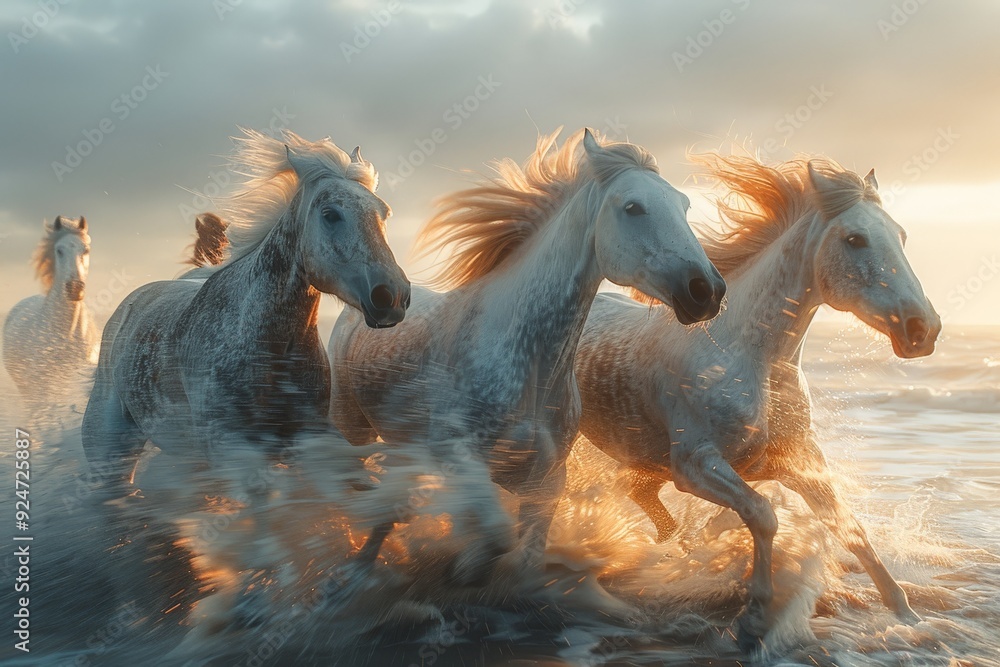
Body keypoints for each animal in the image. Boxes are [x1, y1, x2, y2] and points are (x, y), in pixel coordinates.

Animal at [327, 128, 726, 585]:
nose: (706, 290)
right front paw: (463, 567)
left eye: (684, 205)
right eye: (632, 207)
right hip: (351, 427)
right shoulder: (457, 456)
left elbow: (527, 553)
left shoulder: (546, 481)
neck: (529, 366)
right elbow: (494, 536)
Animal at [574, 153, 940, 651]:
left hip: (646, 461)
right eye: (854, 238)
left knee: (642, 497)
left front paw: (908, 616)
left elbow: (849, 527)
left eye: (900, 235)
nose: (923, 329)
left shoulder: (800, 462)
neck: (749, 357)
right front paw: (754, 618)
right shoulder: (696, 465)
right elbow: (763, 515)